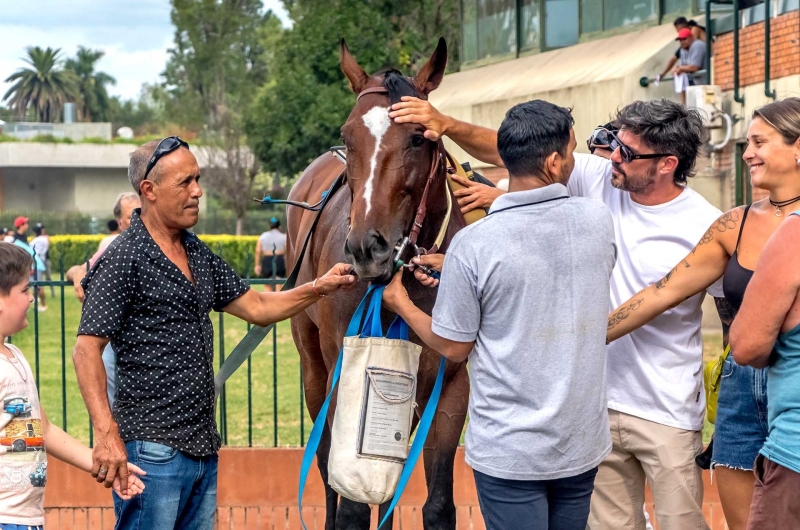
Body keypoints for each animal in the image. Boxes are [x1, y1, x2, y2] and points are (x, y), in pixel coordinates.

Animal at [290, 38, 468, 528]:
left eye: (418, 137)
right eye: (349, 136)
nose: (368, 248)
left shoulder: (450, 385)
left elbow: (438, 503)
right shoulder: (343, 370)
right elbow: (350, 501)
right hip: (313, 366)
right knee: (327, 464)